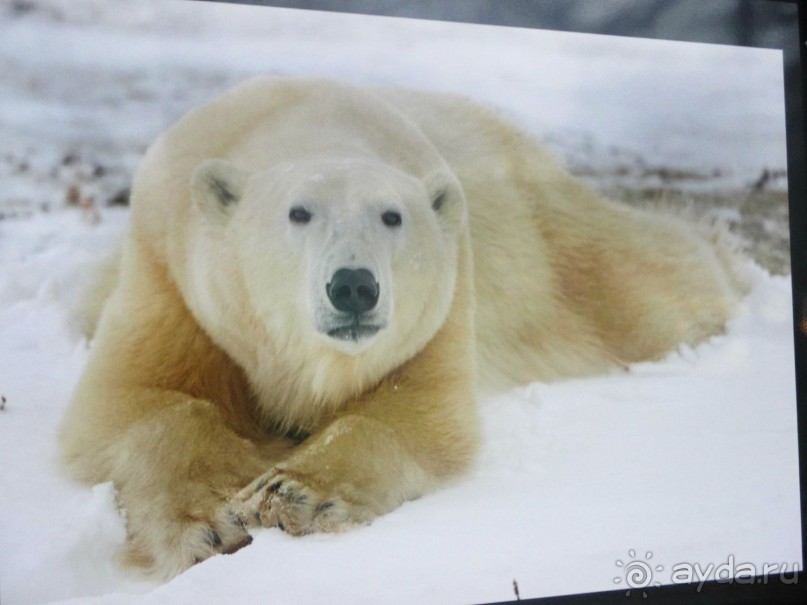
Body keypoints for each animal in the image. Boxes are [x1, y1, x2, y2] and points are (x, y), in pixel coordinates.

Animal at [60, 75, 748, 576]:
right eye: (298, 213)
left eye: (392, 216)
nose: (354, 286)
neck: (306, 117)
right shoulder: (173, 276)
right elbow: (140, 399)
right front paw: (209, 524)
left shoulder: (445, 297)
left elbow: (415, 412)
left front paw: (293, 494)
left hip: (551, 247)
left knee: (646, 285)